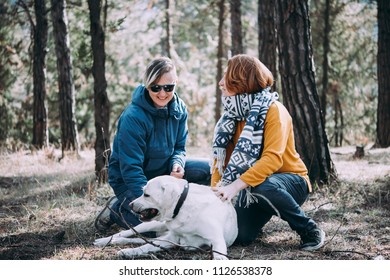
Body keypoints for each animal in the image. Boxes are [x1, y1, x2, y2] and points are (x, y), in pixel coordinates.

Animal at [93, 176, 238, 260]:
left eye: (146, 194)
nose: (130, 204)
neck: (183, 206)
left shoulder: (217, 241)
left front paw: (128, 252)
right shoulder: (172, 239)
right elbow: (145, 247)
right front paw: (129, 252)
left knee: (142, 239)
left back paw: (115, 241)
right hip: (152, 224)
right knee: (127, 232)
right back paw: (105, 240)